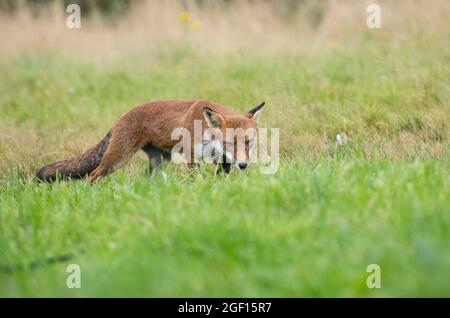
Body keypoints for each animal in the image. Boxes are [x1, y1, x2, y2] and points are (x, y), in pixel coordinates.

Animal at [37, 99, 268, 181]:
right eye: (231, 143)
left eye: (248, 142)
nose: (243, 165)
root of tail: (121, 117)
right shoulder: (193, 157)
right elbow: (196, 179)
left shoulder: (223, 160)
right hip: (118, 158)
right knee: (93, 175)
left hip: (159, 162)